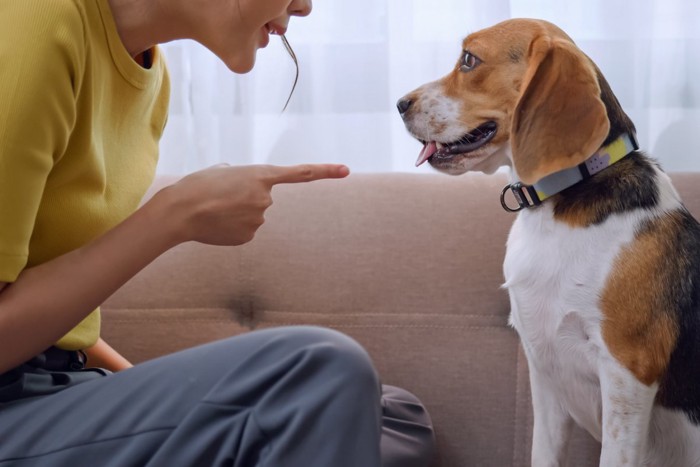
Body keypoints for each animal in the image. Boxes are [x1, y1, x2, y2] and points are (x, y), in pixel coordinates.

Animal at [396, 17, 700, 464]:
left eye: (469, 59)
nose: (401, 104)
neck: (556, 208)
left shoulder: (627, 376)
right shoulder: (544, 372)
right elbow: (542, 451)